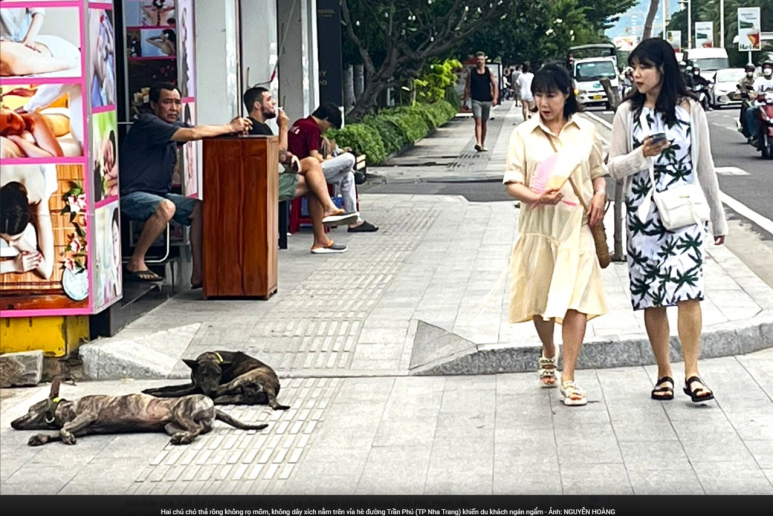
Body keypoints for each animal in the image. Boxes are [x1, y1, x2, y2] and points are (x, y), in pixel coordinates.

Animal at [7, 376, 268, 446]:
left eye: (29, 409)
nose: (11, 423)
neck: (66, 407)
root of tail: (212, 405)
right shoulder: (83, 428)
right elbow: (58, 432)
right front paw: (41, 437)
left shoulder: (87, 414)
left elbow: (64, 429)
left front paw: (64, 435)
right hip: (170, 424)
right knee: (198, 430)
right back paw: (182, 436)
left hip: (181, 411)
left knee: (195, 429)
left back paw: (184, 438)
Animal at [140, 350, 288, 412]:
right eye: (204, 374)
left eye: (218, 374)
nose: (212, 390)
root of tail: (272, 385)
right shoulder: (194, 384)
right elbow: (169, 387)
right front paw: (151, 389)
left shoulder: (196, 387)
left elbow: (175, 392)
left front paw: (155, 394)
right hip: (239, 393)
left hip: (236, 381)